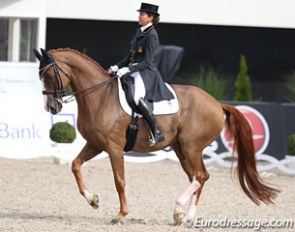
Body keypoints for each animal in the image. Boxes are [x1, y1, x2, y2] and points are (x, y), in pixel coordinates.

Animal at [33, 47, 278, 225]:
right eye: (40, 76)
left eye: (49, 74)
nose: (52, 107)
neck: (100, 96)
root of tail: (217, 104)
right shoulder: (95, 144)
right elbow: (75, 165)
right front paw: (92, 200)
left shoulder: (113, 147)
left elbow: (119, 181)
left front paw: (121, 215)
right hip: (182, 149)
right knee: (198, 177)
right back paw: (185, 216)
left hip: (191, 147)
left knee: (200, 176)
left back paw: (179, 209)